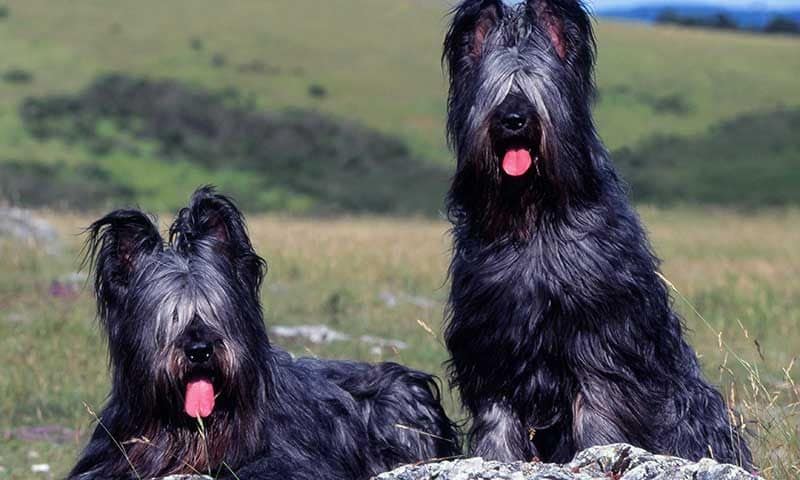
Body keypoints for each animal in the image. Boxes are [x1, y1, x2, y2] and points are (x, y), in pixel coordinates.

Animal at [444, 0, 752, 468]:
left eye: (536, 86)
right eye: (496, 90)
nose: (513, 120)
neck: (532, 214)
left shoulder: (601, 337)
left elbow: (598, 411)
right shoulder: (491, 341)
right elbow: (497, 418)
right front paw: (495, 457)